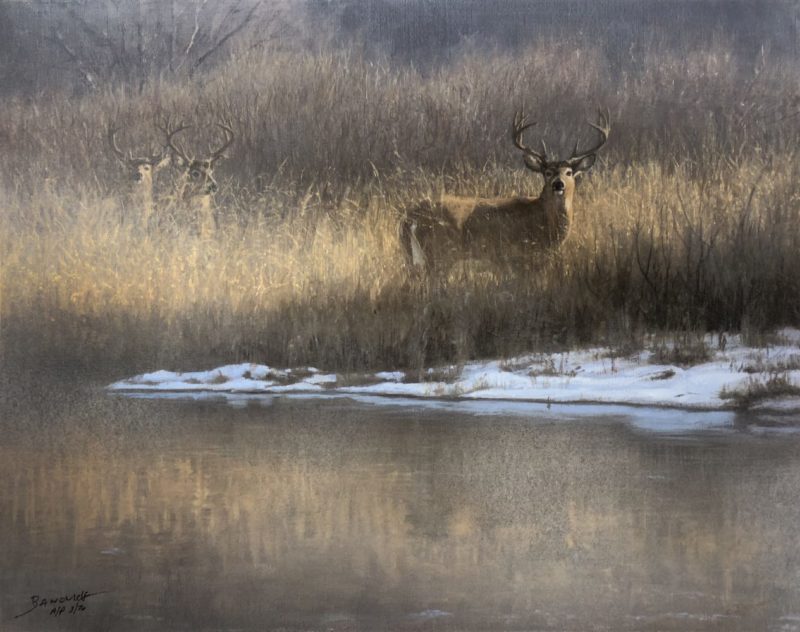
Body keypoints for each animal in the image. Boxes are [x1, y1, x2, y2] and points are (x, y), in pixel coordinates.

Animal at [404, 109, 608, 272]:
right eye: (547, 172)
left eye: (569, 172)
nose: (558, 184)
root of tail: (410, 218)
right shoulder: (516, 257)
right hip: (440, 254)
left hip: (413, 257)